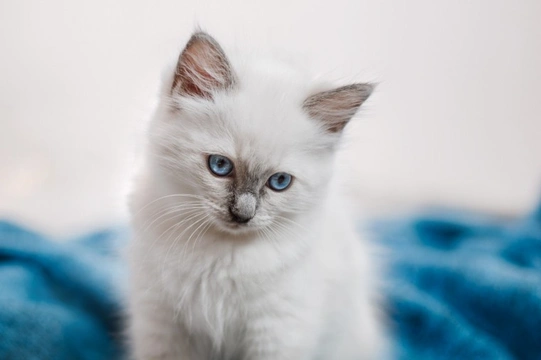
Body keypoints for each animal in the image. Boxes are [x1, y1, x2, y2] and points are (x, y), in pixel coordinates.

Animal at [126, 31, 384, 360]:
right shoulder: (160, 320)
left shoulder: (278, 330)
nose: (243, 214)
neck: (219, 255)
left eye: (279, 182)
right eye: (220, 166)